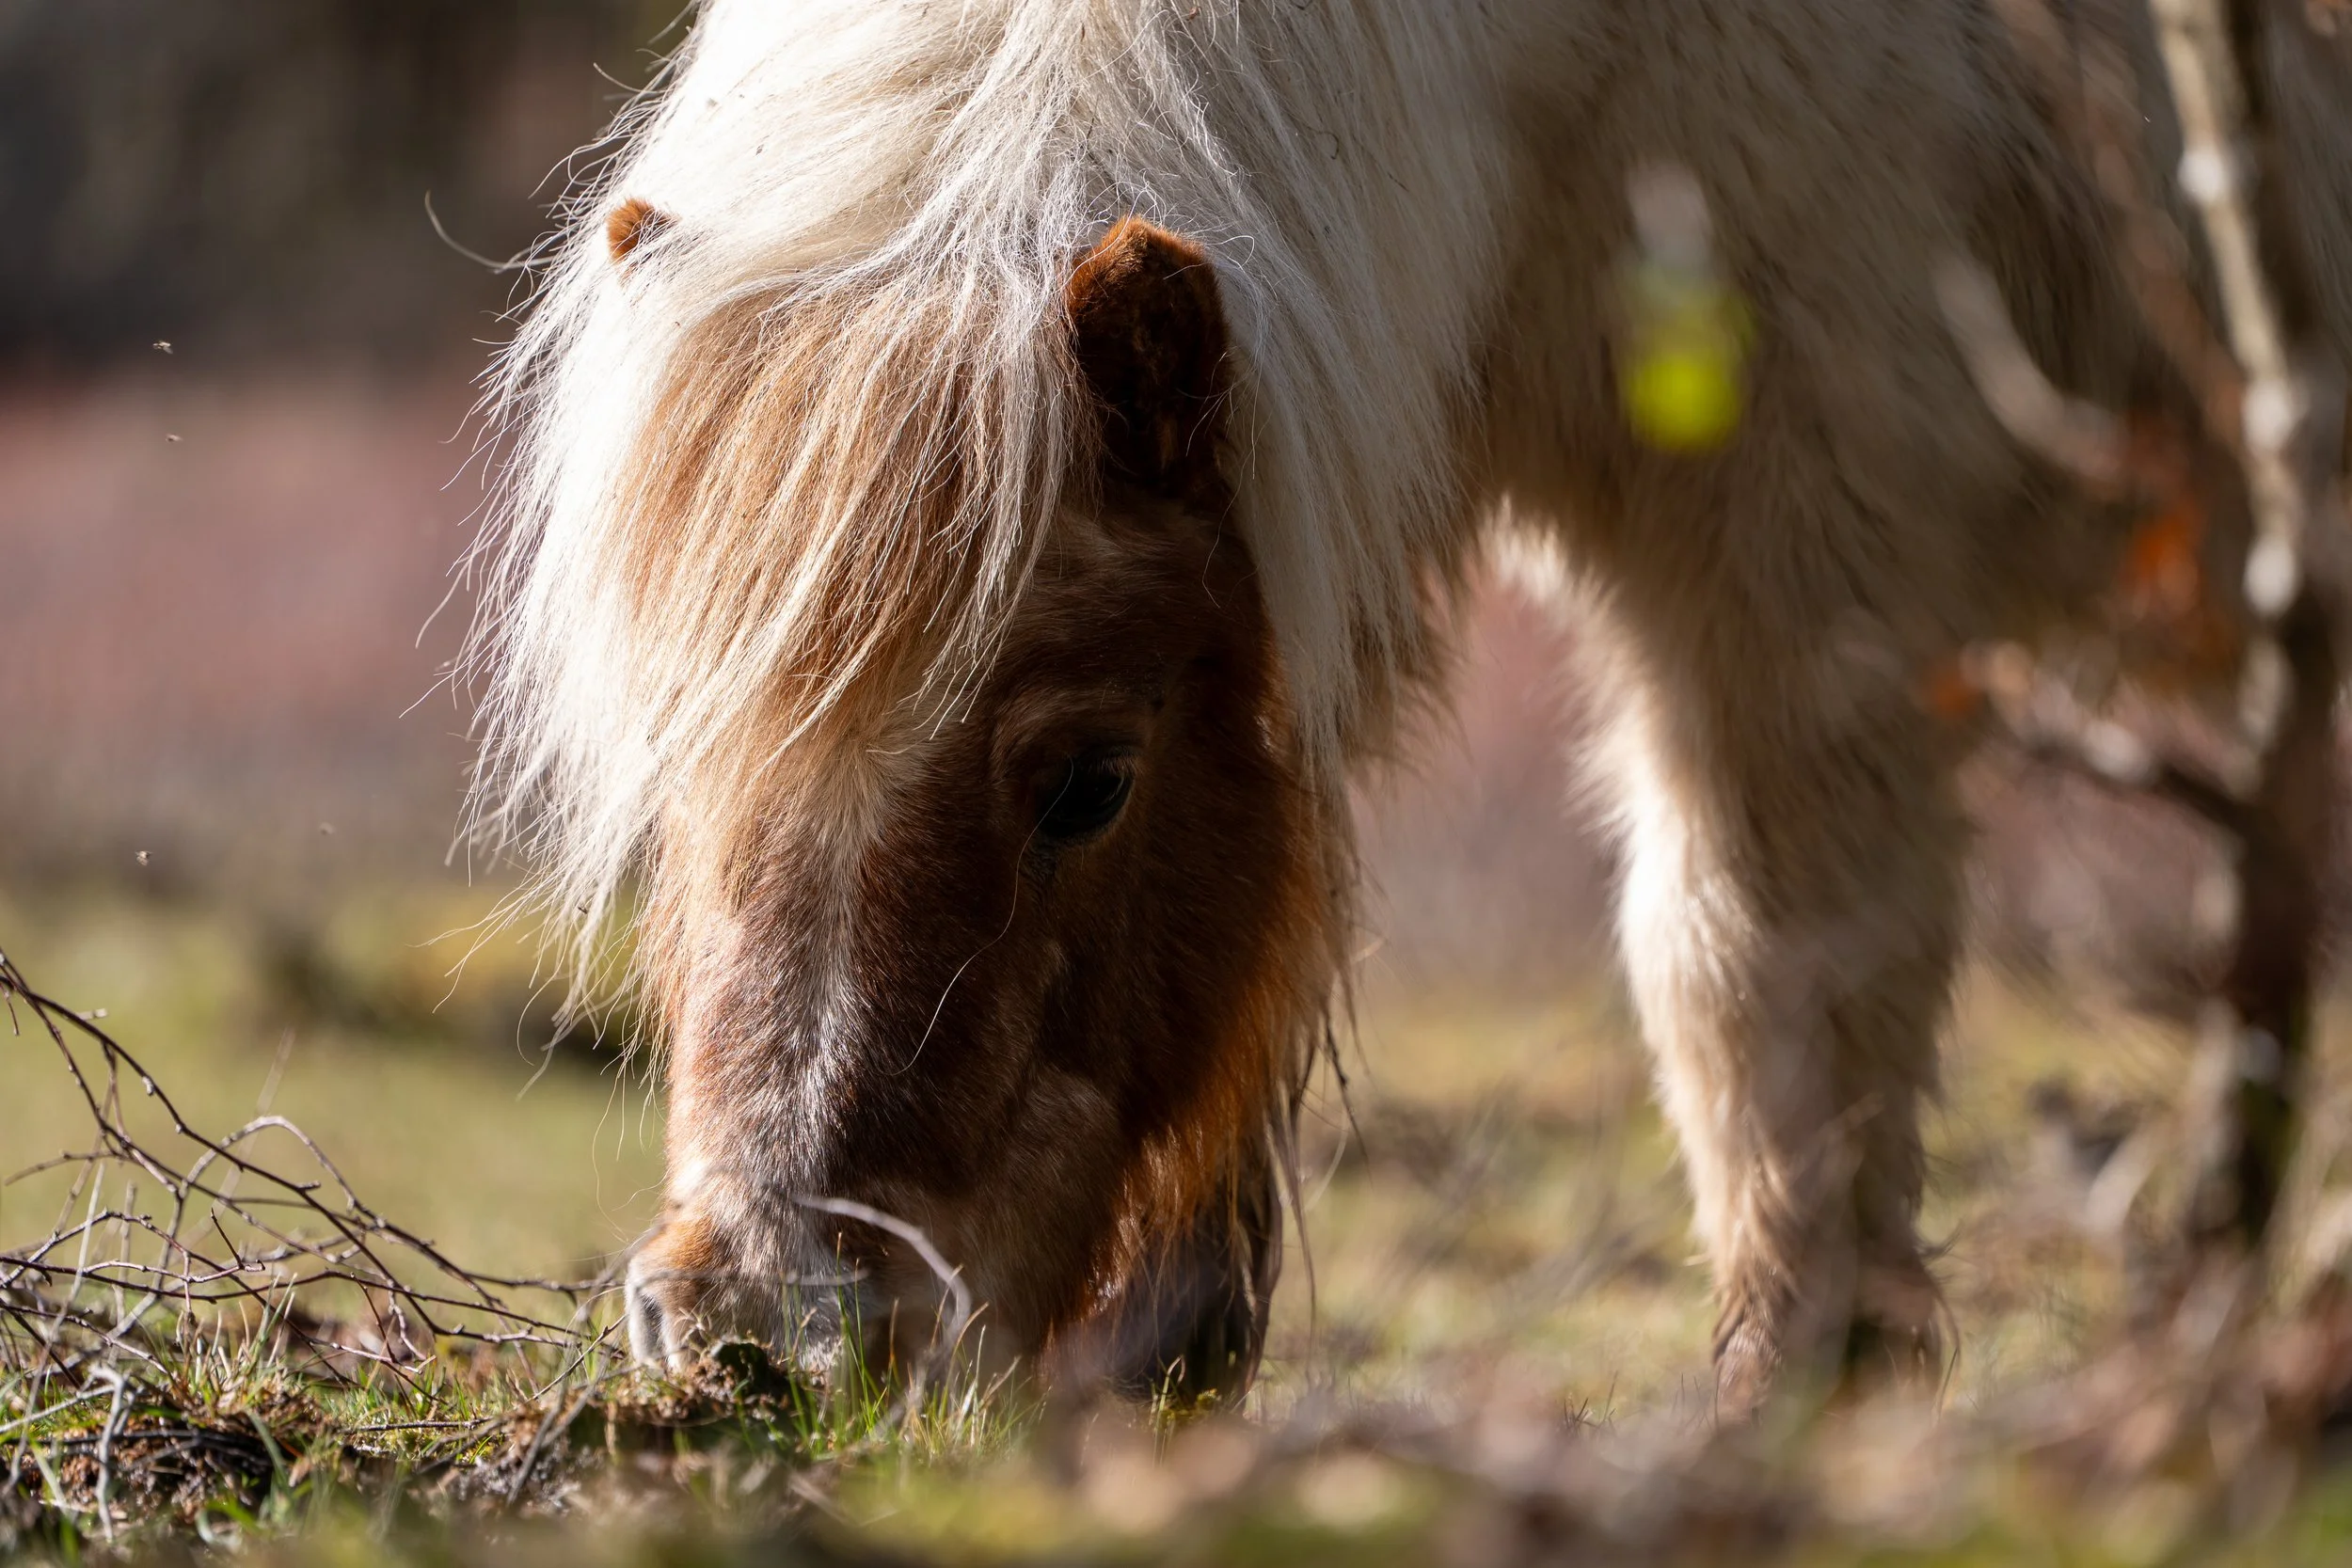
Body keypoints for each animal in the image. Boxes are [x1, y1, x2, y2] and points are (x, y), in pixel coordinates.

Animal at [469, 0, 2352, 1410]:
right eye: (685, 757)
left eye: (1089, 780)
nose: (768, 1330)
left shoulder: (1798, 564)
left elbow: (1759, 982)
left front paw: (1803, 1407)